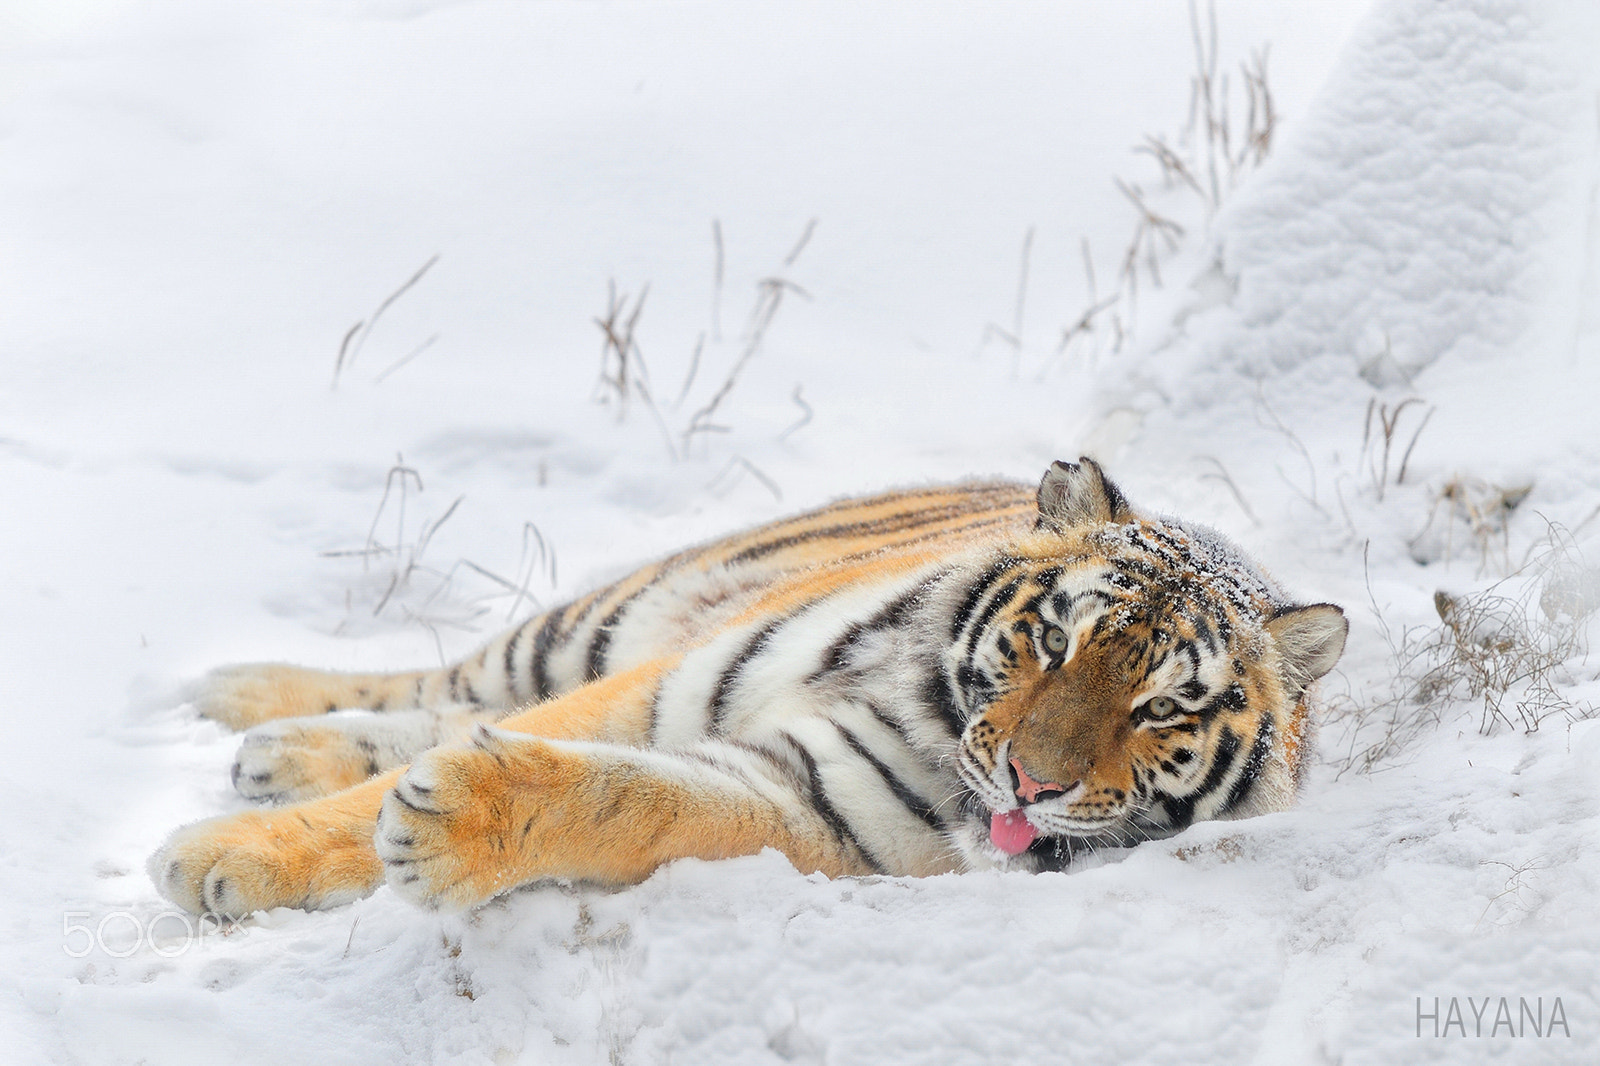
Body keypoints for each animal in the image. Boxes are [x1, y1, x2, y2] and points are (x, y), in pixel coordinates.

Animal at [150, 457, 1347, 917]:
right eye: (1055, 640)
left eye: (1162, 709)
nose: (1030, 782)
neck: (927, 719)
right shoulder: (654, 685)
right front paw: (216, 859)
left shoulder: (808, 801)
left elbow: (638, 797)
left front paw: (451, 824)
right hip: (602, 620)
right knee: (456, 677)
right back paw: (240, 701)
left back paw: (270, 751)